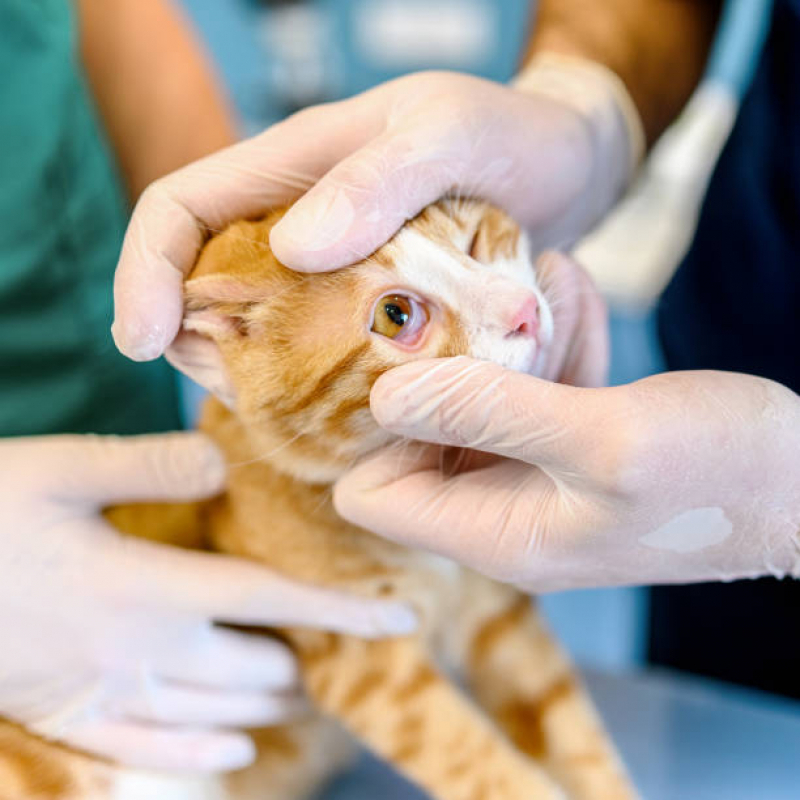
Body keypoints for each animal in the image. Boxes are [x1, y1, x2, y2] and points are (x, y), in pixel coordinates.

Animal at [0, 200, 636, 800]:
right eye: (396, 315)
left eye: (475, 240)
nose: (524, 310)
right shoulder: (367, 666)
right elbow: (478, 764)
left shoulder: (495, 609)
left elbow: (570, 731)